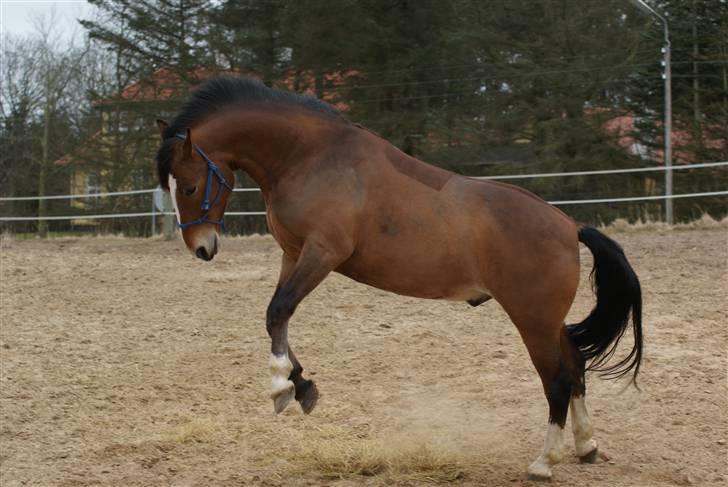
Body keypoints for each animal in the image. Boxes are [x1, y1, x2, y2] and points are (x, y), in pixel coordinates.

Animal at [155, 78, 644, 482]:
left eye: (190, 186)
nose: (202, 248)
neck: (309, 157)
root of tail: (569, 224)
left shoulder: (322, 253)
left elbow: (279, 310)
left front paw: (280, 386)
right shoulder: (293, 254)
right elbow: (277, 317)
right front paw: (302, 385)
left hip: (533, 321)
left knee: (558, 379)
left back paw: (545, 461)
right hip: (547, 320)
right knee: (576, 365)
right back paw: (586, 446)